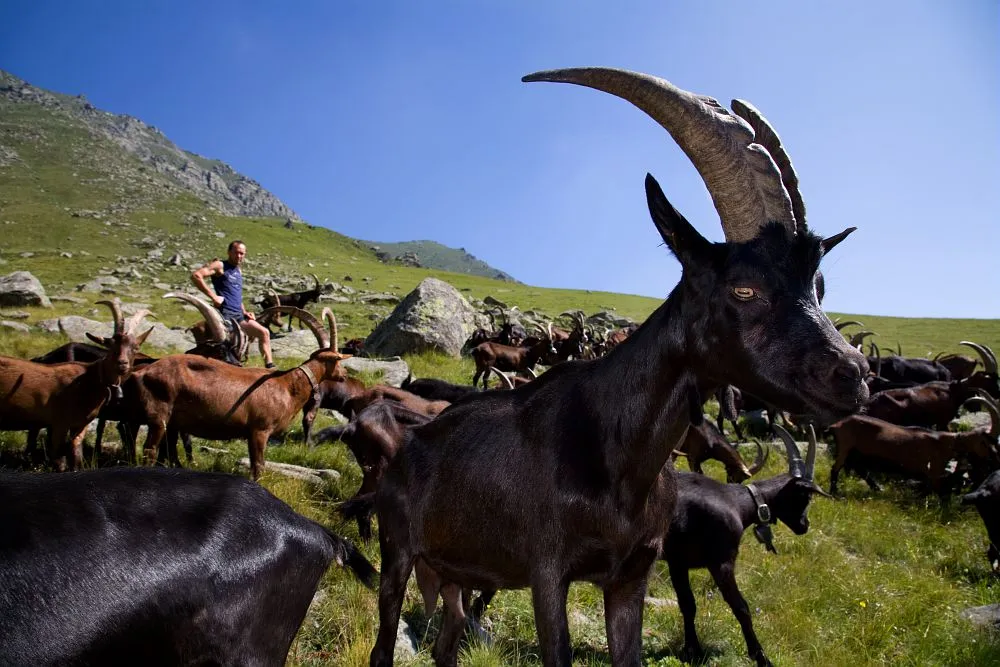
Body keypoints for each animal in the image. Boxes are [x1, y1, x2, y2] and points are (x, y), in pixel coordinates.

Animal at [0, 301, 152, 471]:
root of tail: (42, 357)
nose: (122, 363)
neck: (88, 378)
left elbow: (76, 457)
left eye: (135, 348)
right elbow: (60, 460)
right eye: (110, 345)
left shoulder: (79, 425)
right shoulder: (60, 423)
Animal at [120, 306, 349, 479]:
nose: (345, 375)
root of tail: (140, 372)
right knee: (149, 451)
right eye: (338, 359)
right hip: (158, 417)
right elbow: (258, 466)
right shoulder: (259, 430)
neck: (288, 384)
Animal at [664, 425, 827, 667]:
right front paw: (761, 657)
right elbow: (741, 608)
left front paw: (693, 650)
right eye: (805, 497)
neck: (737, 503)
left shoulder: (678, 561)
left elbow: (688, 604)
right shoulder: (722, 562)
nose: (804, 525)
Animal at [828, 396, 1000, 496]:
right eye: (988, 443)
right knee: (836, 468)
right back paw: (834, 492)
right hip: (845, 447)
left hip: (857, 453)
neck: (947, 442)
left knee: (859, 468)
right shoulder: (933, 472)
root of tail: (836, 425)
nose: (995, 462)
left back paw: (877, 488)